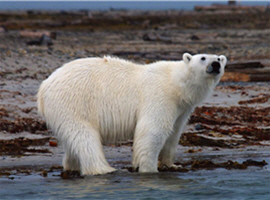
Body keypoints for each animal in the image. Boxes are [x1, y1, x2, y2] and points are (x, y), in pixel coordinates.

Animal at [35, 52, 226, 175]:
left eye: (218, 58)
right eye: (203, 58)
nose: (215, 65)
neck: (176, 83)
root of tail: (44, 87)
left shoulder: (182, 108)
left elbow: (174, 134)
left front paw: (171, 165)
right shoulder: (159, 96)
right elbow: (153, 130)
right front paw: (149, 169)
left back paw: (72, 166)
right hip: (74, 102)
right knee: (84, 135)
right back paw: (103, 169)